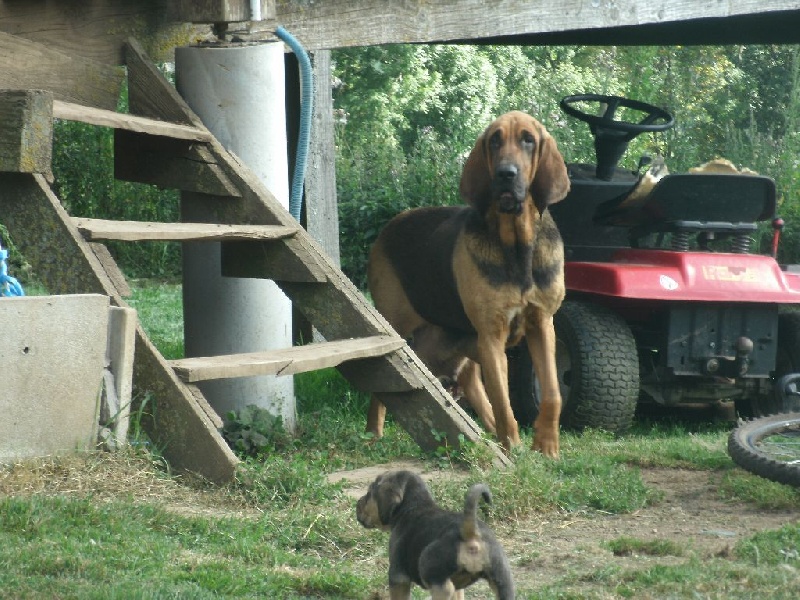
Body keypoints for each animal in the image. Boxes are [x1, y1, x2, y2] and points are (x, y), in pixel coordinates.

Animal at [354, 472, 512, 596]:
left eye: (369, 494)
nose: (357, 502)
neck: (415, 506)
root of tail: (471, 534)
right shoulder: (459, 587)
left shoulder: (398, 577)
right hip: (503, 581)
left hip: (430, 567)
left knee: (445, 589)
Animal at [368, 111, 568, 454]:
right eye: (494, 141)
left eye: (528, 140)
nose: (505, 174)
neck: (518, 248)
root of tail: (389, 227)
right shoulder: (492, 335)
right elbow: (505, 406)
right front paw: (516, 451)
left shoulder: (541, 324)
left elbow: (552, 394)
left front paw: (546, 447)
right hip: (395, 330)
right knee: (378, 390)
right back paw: (373, 435)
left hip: (467, 356)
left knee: (478, 399)